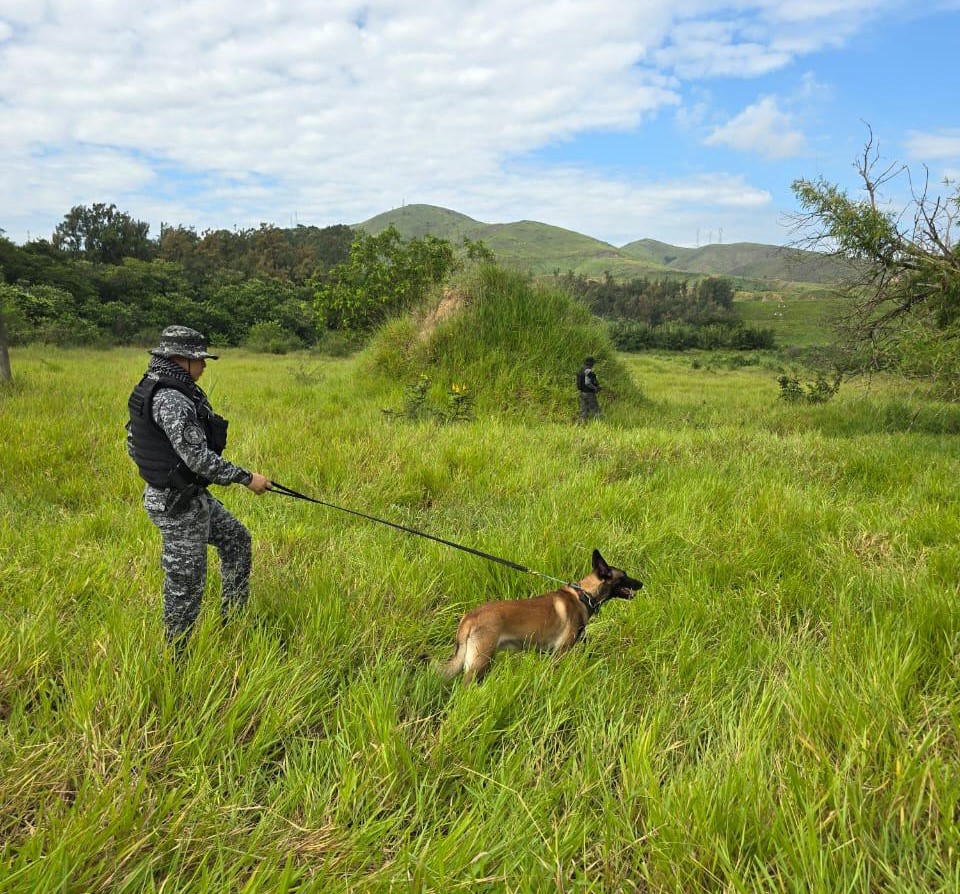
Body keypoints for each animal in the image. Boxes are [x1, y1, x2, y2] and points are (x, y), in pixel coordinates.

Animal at [432, 548, 640, 688]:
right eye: (624, 576)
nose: (642, 583)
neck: (584, 594)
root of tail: (470, 616)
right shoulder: (560, 653)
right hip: (479, 663)